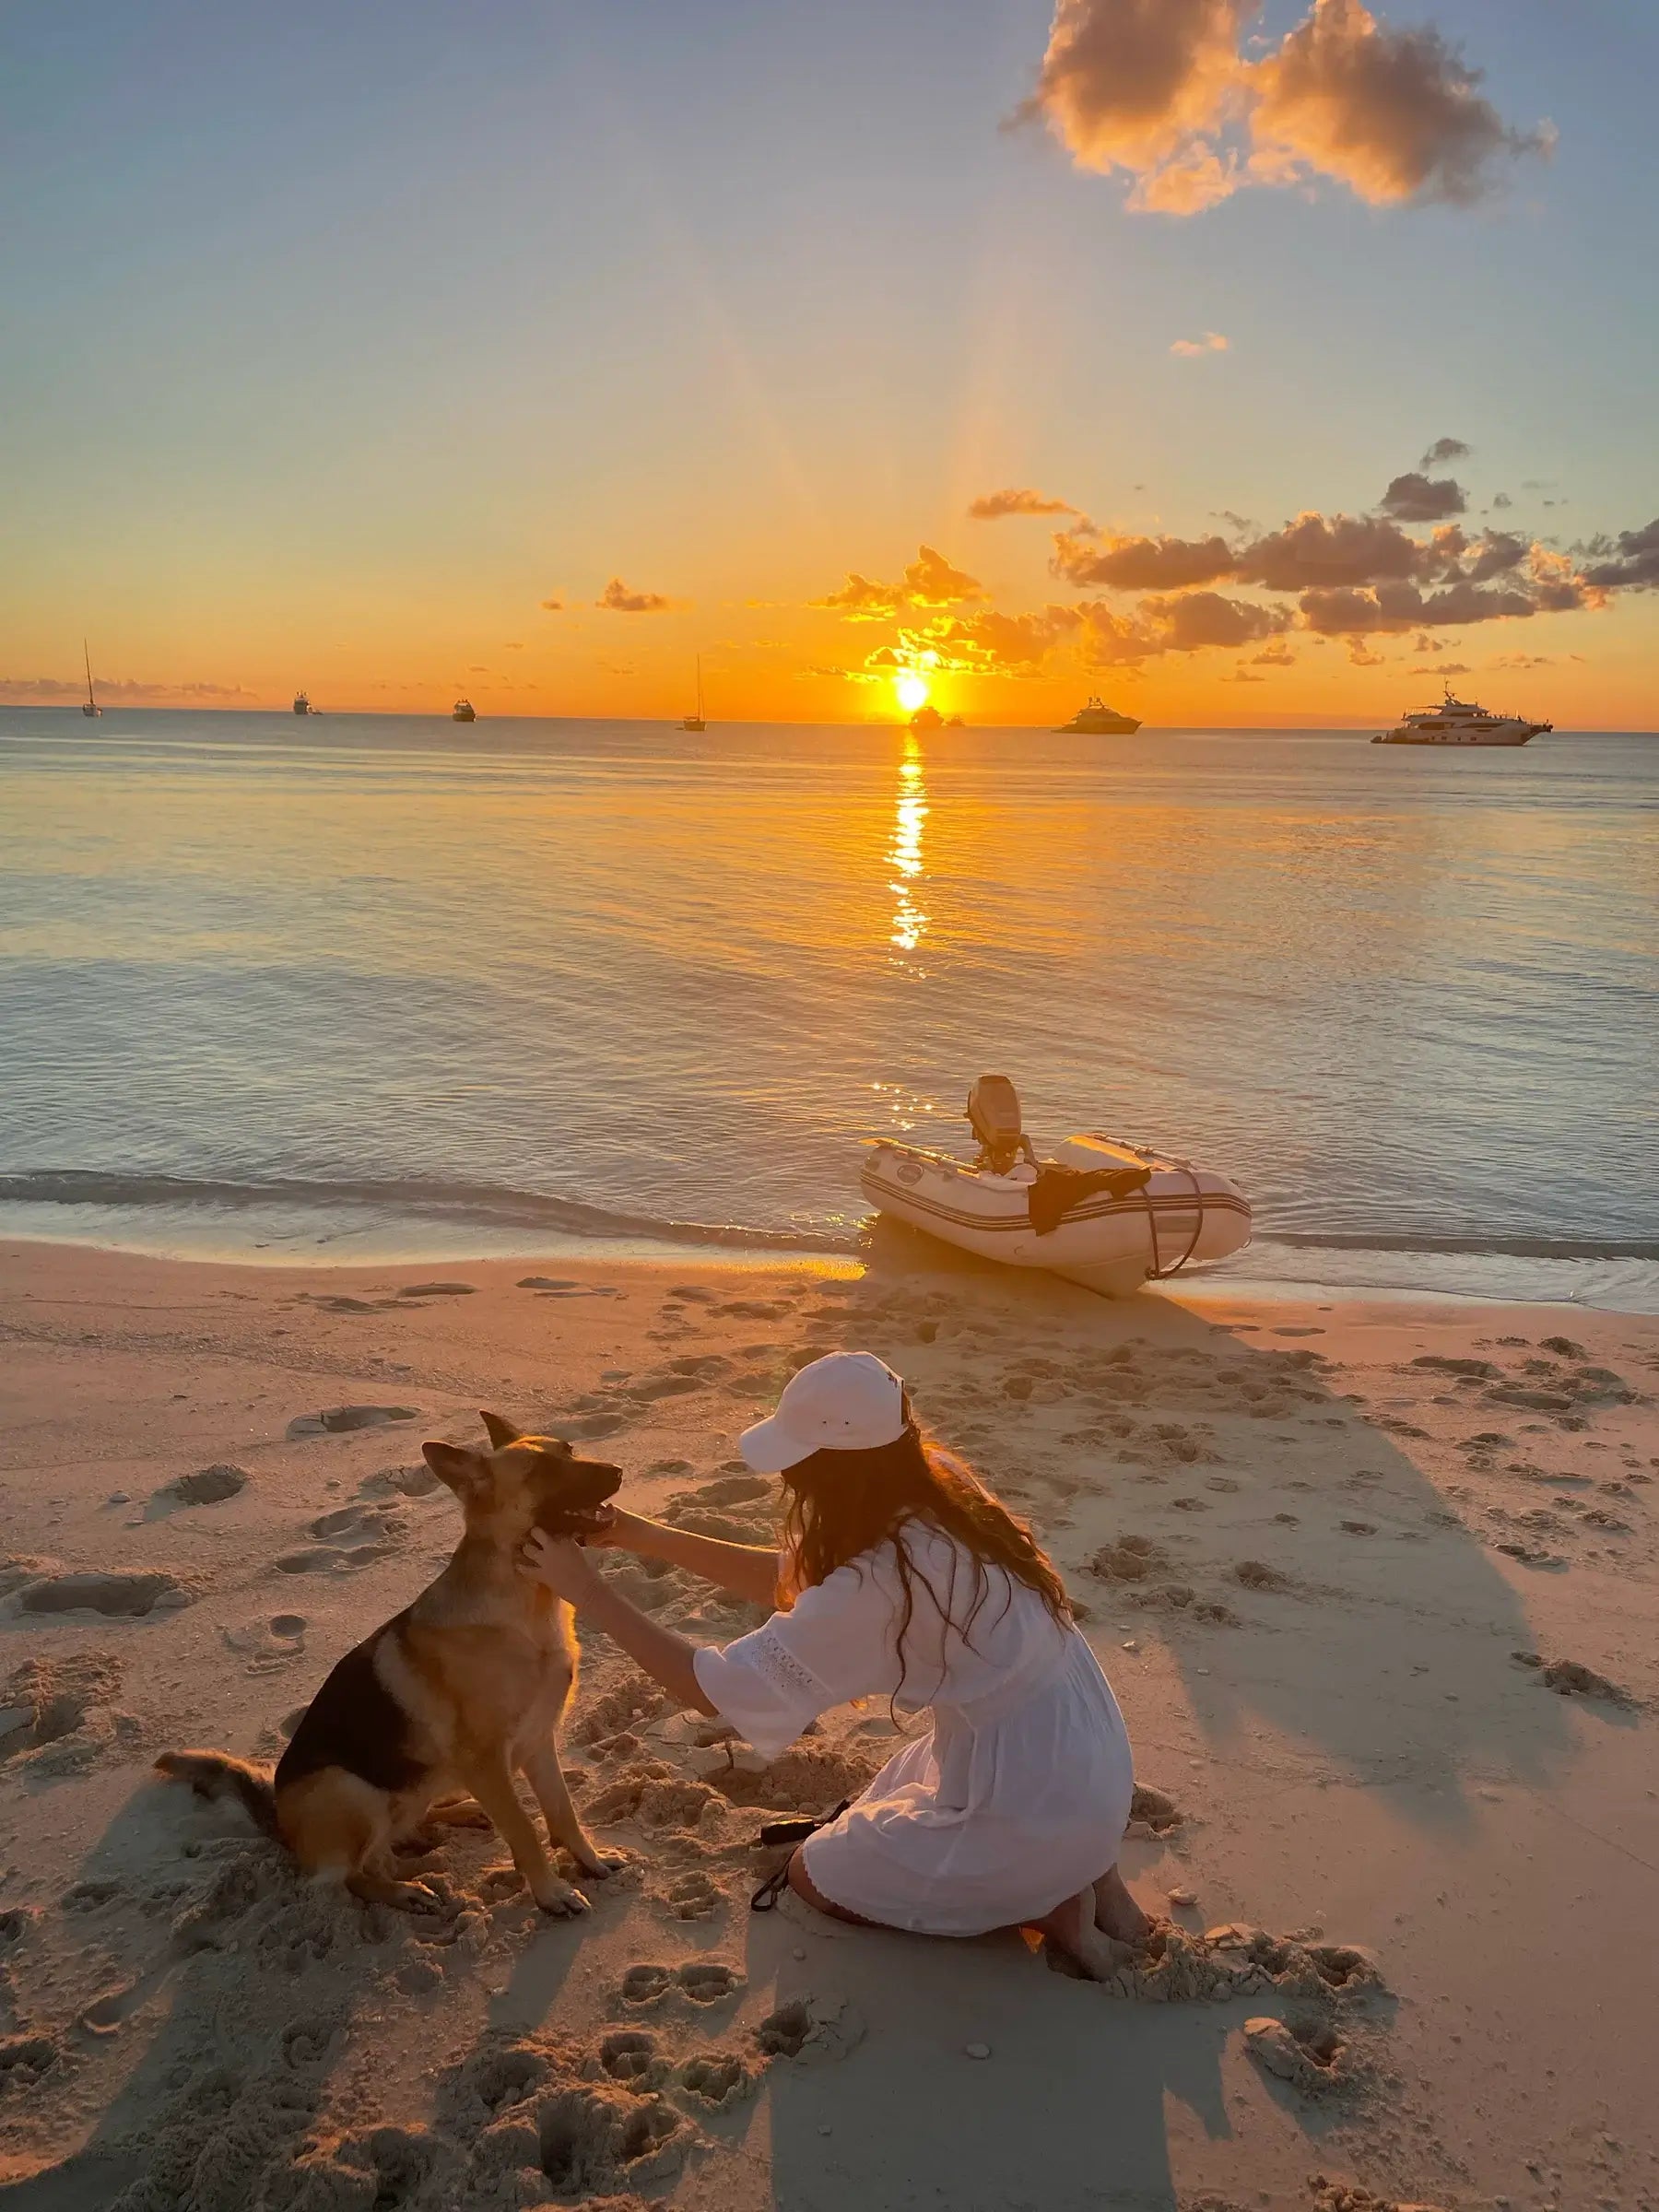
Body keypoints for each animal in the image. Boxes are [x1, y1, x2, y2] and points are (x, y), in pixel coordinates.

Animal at [160, 1416, 623, 1920]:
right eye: (541, 1471)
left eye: (570, 1450)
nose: (618, 1471)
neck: (520, 1602)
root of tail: (283, 1826)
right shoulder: (485, 1761)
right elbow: (524, 1830)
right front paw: (550, 1892)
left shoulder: (538, 1742)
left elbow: (562, 1811)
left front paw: (589, 1860)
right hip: (351, 1790)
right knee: (352, 1876)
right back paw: (403, 1891)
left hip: (416, 1786)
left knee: (406, 1825)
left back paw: (458, 1813)